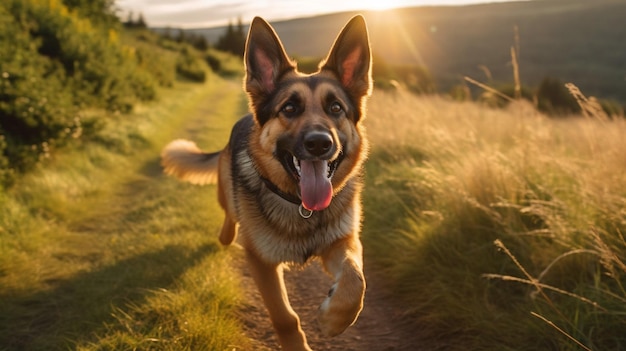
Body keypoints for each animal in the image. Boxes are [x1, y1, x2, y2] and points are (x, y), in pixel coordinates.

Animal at [161, 15, 370, 350]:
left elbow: (355, 280)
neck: (300, 206)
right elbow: (285, 318)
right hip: (227, 194)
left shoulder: (343, 242)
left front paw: (335, 318)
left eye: (336, 108)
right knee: (229, 214)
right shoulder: (262, 264)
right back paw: (227, 234)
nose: (319, 144)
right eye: (289, 108)